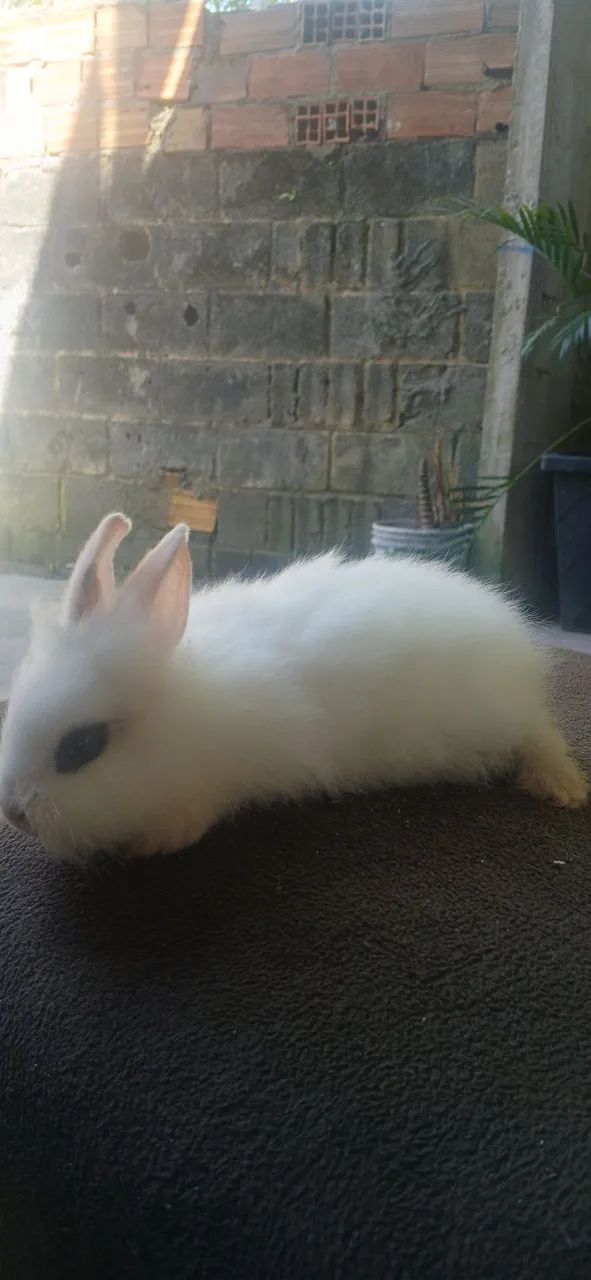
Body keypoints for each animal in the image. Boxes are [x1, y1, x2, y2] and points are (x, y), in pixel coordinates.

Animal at [0, 512, 586, 864]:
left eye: (83, 746)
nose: (14, 814)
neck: (181, 717)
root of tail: (509, 635)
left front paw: (151, 844)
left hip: (498, 719)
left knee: (540, 735)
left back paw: (563, 788)